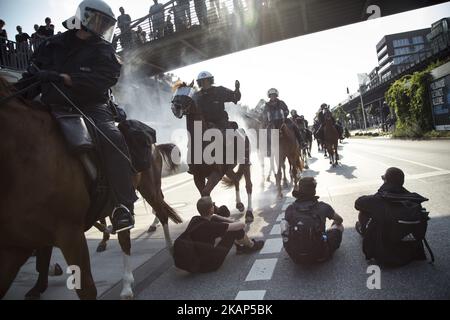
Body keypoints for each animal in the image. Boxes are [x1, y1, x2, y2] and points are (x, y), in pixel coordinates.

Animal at [0, 77, 183, 300]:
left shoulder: (70, 233)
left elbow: (85, 286)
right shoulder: (15, 245)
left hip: (149, 188)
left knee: (161, 214)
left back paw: (169, 250)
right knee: (125, 236)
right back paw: (126, 284)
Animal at [171, 82, 253, 222]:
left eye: (188, 94)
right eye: (176, 94)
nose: (175, 108)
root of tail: (243, 132)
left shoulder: (216, 173)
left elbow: (205, 193)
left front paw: (217, 209)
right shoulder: (198, 176)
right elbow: (203, 193)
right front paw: (217, 209)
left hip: (244, 163)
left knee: (248, 186)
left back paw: (249, 212)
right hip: (228, 169)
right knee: (236, 179)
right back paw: (239, 204)